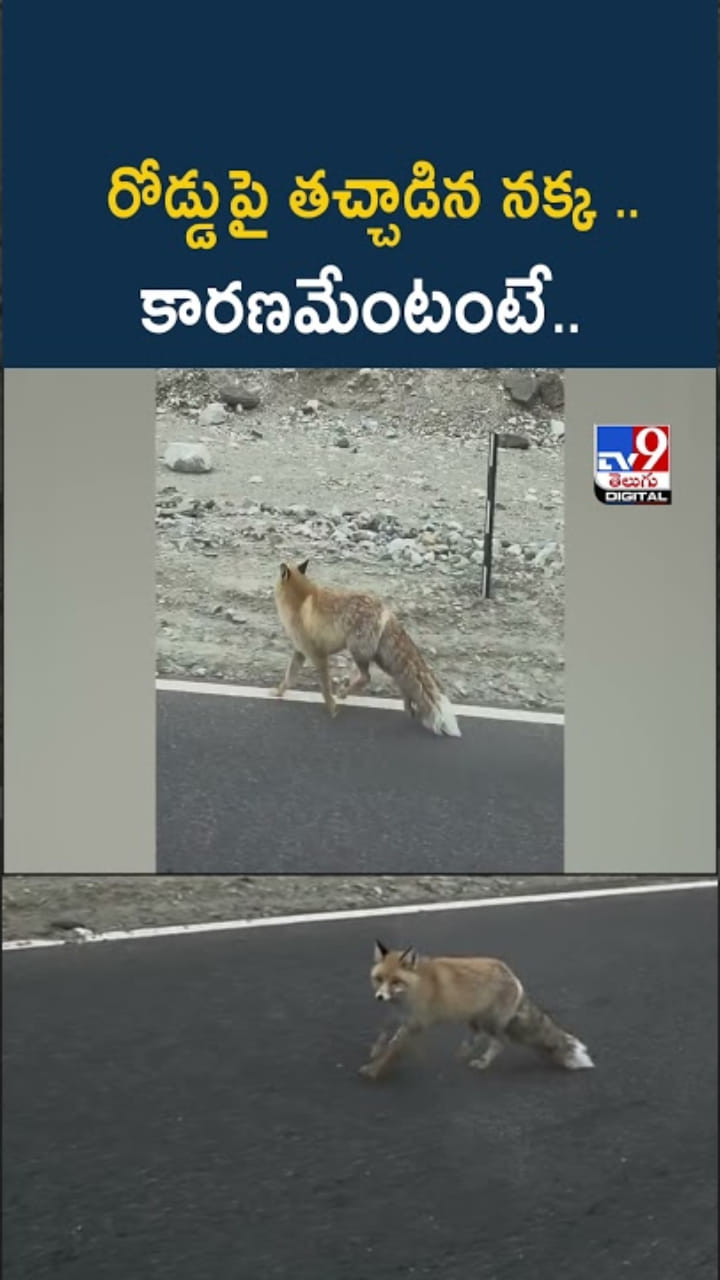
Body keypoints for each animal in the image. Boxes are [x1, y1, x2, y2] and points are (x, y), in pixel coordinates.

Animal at [273, 559, 461, 738]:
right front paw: (278, 692)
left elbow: (325, 689)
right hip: (382, 658)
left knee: (367, 677)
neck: (300, 600)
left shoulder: (319, 655)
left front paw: (332, 708)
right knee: (401, 679)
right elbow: (289, 678)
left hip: (358, 651)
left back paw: (344, 693)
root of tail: (385, 610)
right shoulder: (300, 651)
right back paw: (408, 707)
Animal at [359, 940, 594, 1080]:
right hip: (475, 1019)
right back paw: (462, 1055)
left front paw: (374, 1069)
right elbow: (384, 1033)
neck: (414, 988)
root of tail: (513, 977)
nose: (379, 997)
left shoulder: (417, 1023)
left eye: (395, 981)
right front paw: (375, 1051)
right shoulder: (398, 1015)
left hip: (490, 1023)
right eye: (379, 979)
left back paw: (482, 1062)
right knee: (478, 1036)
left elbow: (393, 1049)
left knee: (499, 1042)